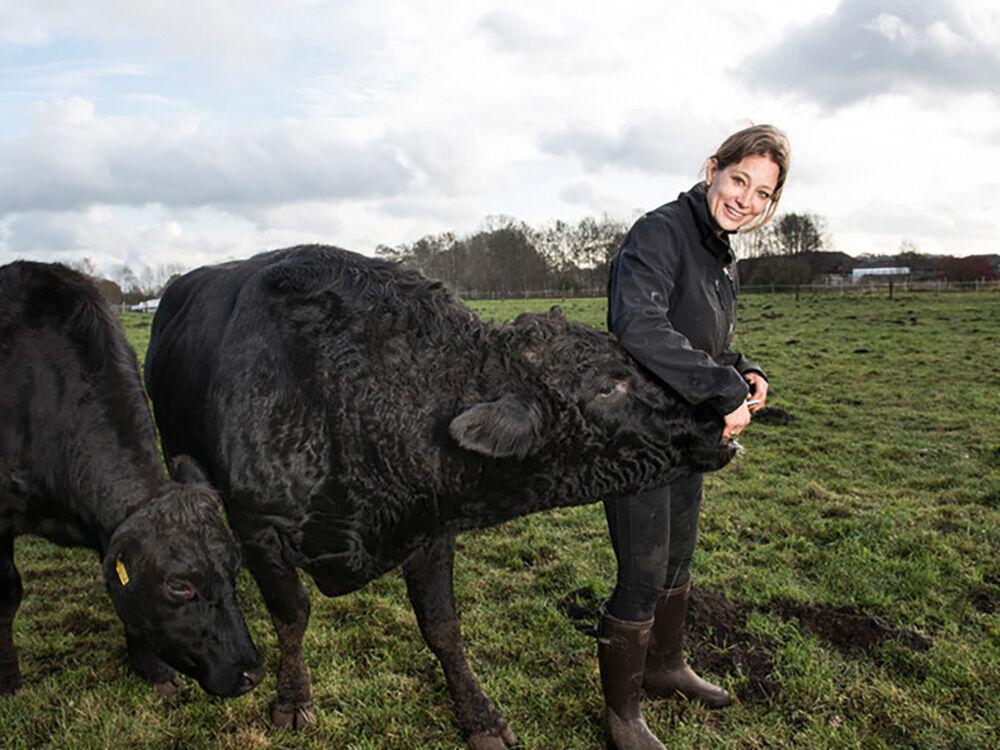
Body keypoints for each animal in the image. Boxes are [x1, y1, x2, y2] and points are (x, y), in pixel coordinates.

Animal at [0, 262, 266, 700]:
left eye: (235, 569)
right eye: (179, 585)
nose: (250, 672)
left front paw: (152, 669)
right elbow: (7, 592)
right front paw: (7, 679)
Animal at [143, 244, 736, 748]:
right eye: (608, 386)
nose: (717, 411)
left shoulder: (430, 530)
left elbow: (443, 628)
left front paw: (480, 716)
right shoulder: (259, 530)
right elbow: (293, 616)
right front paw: (292, 697)